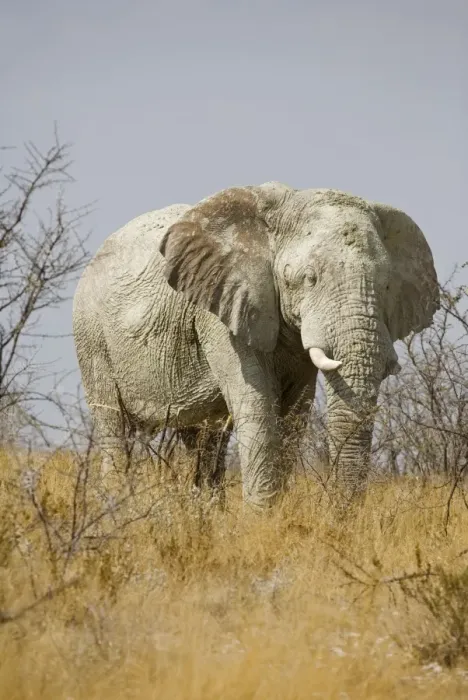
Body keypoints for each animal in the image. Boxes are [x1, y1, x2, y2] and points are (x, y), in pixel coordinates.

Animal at [72, 182, 439, 508]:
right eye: (308, 278)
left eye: (387, 286)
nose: (338, 515)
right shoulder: (223, 310)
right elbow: (257, 405)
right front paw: (261, 518)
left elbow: (294, 415)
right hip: (91, 336)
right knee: (113, 427)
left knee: (204, 441)